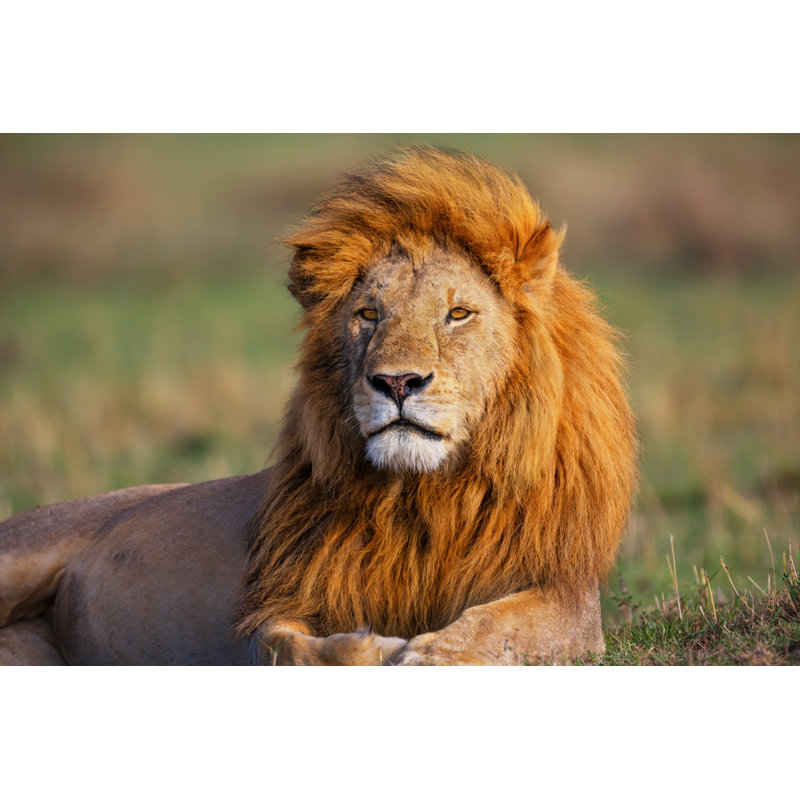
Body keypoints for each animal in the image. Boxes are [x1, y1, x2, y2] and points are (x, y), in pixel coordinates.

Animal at [0, 146, 637, 665]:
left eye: (458, 314)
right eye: (368, 314)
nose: (397, 382)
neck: (423, 497)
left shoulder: (566, 596)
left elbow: (494, 627)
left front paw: (428, 655)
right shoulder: (280, 599)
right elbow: (287, 646)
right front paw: (374, 648)